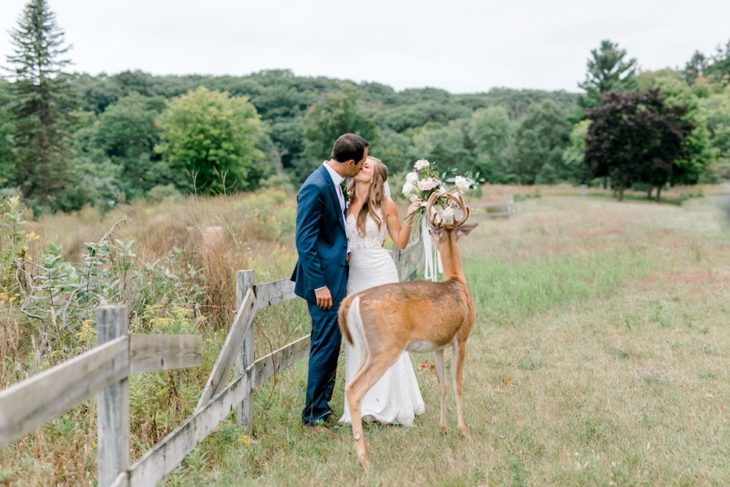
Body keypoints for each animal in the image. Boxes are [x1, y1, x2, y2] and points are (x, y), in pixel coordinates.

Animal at [336, 190, 478, 468]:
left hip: (366, 348)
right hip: (386, 347)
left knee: (351, 385)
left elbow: (443, 385)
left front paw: (443, 428)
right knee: (354, 390)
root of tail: (352, 300)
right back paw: (364, 458)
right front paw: (463, 431)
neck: (458, 282)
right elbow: (458, 384)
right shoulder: (462, 337)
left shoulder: (438, 345)